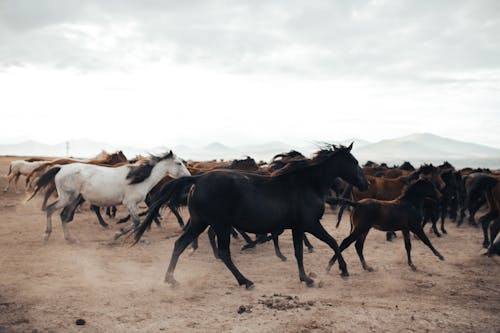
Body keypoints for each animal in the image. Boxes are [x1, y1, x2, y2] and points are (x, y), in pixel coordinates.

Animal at [31, 150, 191, 241]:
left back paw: (69, 238)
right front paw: (117, 234)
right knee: (51, 209)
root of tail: (61, 167)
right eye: (178, 163)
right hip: (67, 197)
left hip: (73, 199)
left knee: (63, 215)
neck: (140, 178)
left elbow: (138, 221)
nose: (189, 176)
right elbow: (136, 222)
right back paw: (47, 234)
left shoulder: (135, 204)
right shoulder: (130, 203)